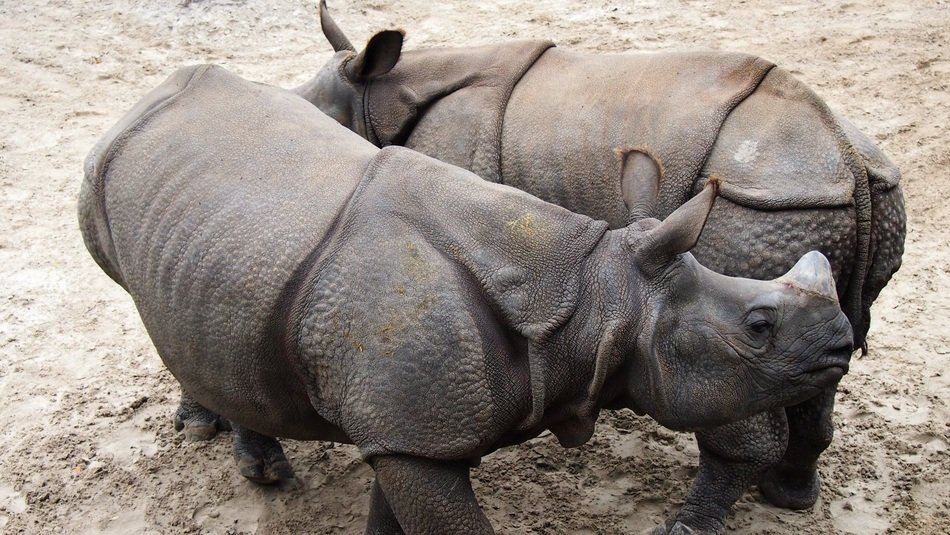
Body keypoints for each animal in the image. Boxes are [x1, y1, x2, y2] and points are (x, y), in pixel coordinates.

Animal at [79, 64, 854, 534]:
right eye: (759, 325)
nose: (843, 341)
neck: (596, 294)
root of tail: (141, 100)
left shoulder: (411, 431)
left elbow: (393, 507)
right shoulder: (415, 427)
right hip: (102, 180)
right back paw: (244, 459)